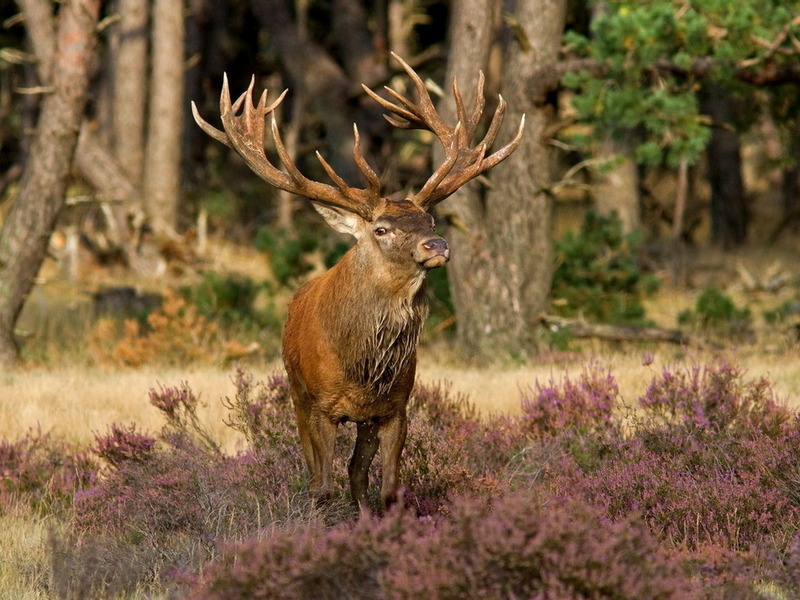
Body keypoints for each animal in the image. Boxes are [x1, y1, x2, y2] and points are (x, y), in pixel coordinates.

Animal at [191, 52, 520, 510]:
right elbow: (322, 487)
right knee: (318, 475)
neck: (362, 367)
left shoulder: (395, 406)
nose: (437, 245)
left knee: (357, 474)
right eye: (381, 229)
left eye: (431, 220)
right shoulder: (320, 406)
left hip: (362, 419)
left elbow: (387, 489)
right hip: (296, 394)